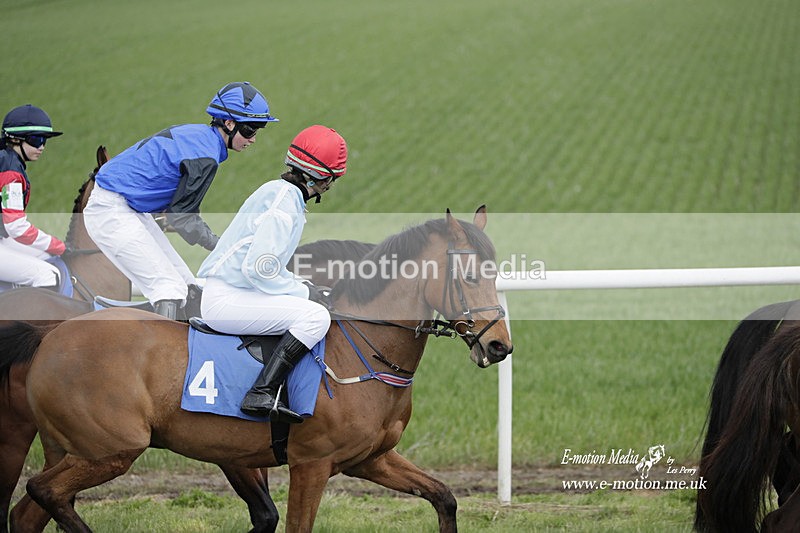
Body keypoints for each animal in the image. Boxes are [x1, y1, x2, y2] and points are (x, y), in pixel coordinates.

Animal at [2, 207, 512, 533]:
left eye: (498, 273)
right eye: (470, 276)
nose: (499, 345)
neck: (360, 354)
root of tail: (51, 334)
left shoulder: (370, 458)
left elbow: (444, 497)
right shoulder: (311, 463)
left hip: (71, 447)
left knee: (27, 511)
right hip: (109, 449)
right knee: (44, 492)